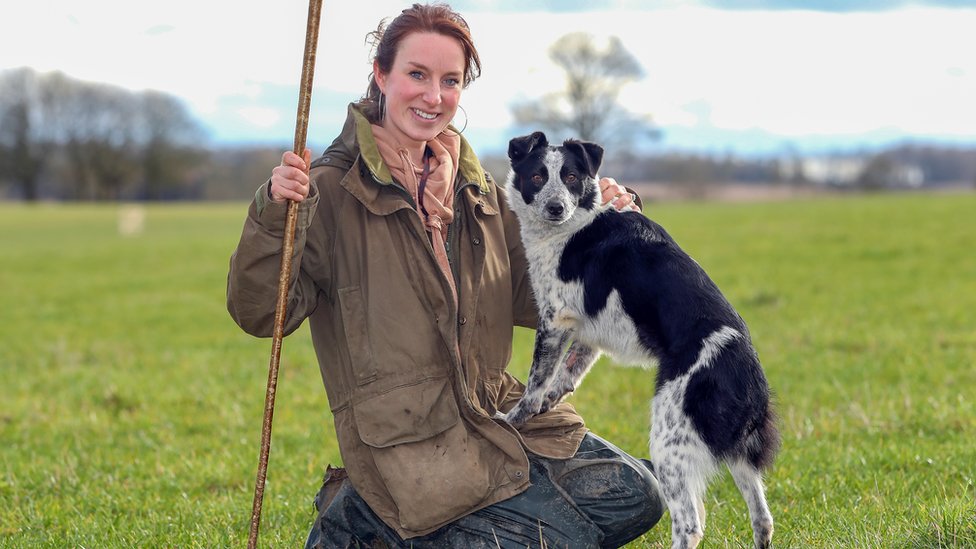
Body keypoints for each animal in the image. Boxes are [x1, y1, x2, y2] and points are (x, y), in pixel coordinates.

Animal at [500, 132, 780, 548]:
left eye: (570, 177)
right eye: (537, 176)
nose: (555, 208)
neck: (576, 222)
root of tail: (748, 373)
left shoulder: (555, 318)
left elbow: (536, 382)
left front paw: (514, 419)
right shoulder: (587, 329)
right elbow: (566, 375)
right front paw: (550, 405)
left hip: (670, 441)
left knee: (690, 522)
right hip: (739, 454)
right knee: (762, 518)